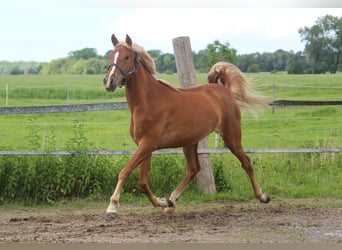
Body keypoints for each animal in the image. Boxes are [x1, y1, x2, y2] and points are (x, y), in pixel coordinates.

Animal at [102, 33, 270, 221]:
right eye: (111, 56)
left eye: (127, 57)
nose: (109, 82)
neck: (147, 101)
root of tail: (225, 91)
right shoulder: (144, 146)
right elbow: (143, 183)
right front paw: (163, 202)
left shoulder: (147, 144)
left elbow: (125, 172)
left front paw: (112, 208)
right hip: (190, 142)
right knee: (194, 169)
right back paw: (172, 201)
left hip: (231, 138)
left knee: (246, 163)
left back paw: (263, 196)